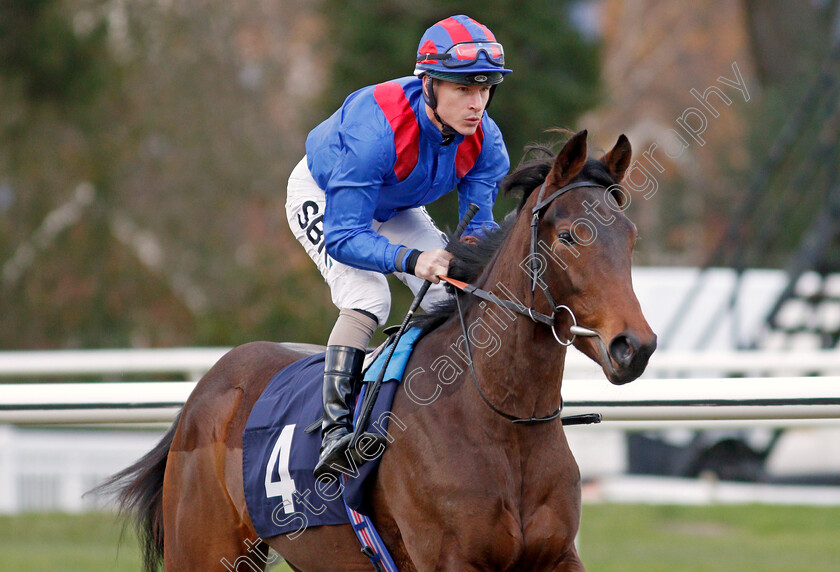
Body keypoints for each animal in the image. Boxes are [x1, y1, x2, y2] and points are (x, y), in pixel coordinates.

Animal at [103, 127, 656, 568]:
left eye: (630, 237)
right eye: (568, 237)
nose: (635, 346)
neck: (502, 421)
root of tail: (206, 389)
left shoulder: (556, 555)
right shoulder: (450, 560)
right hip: (202, 550)